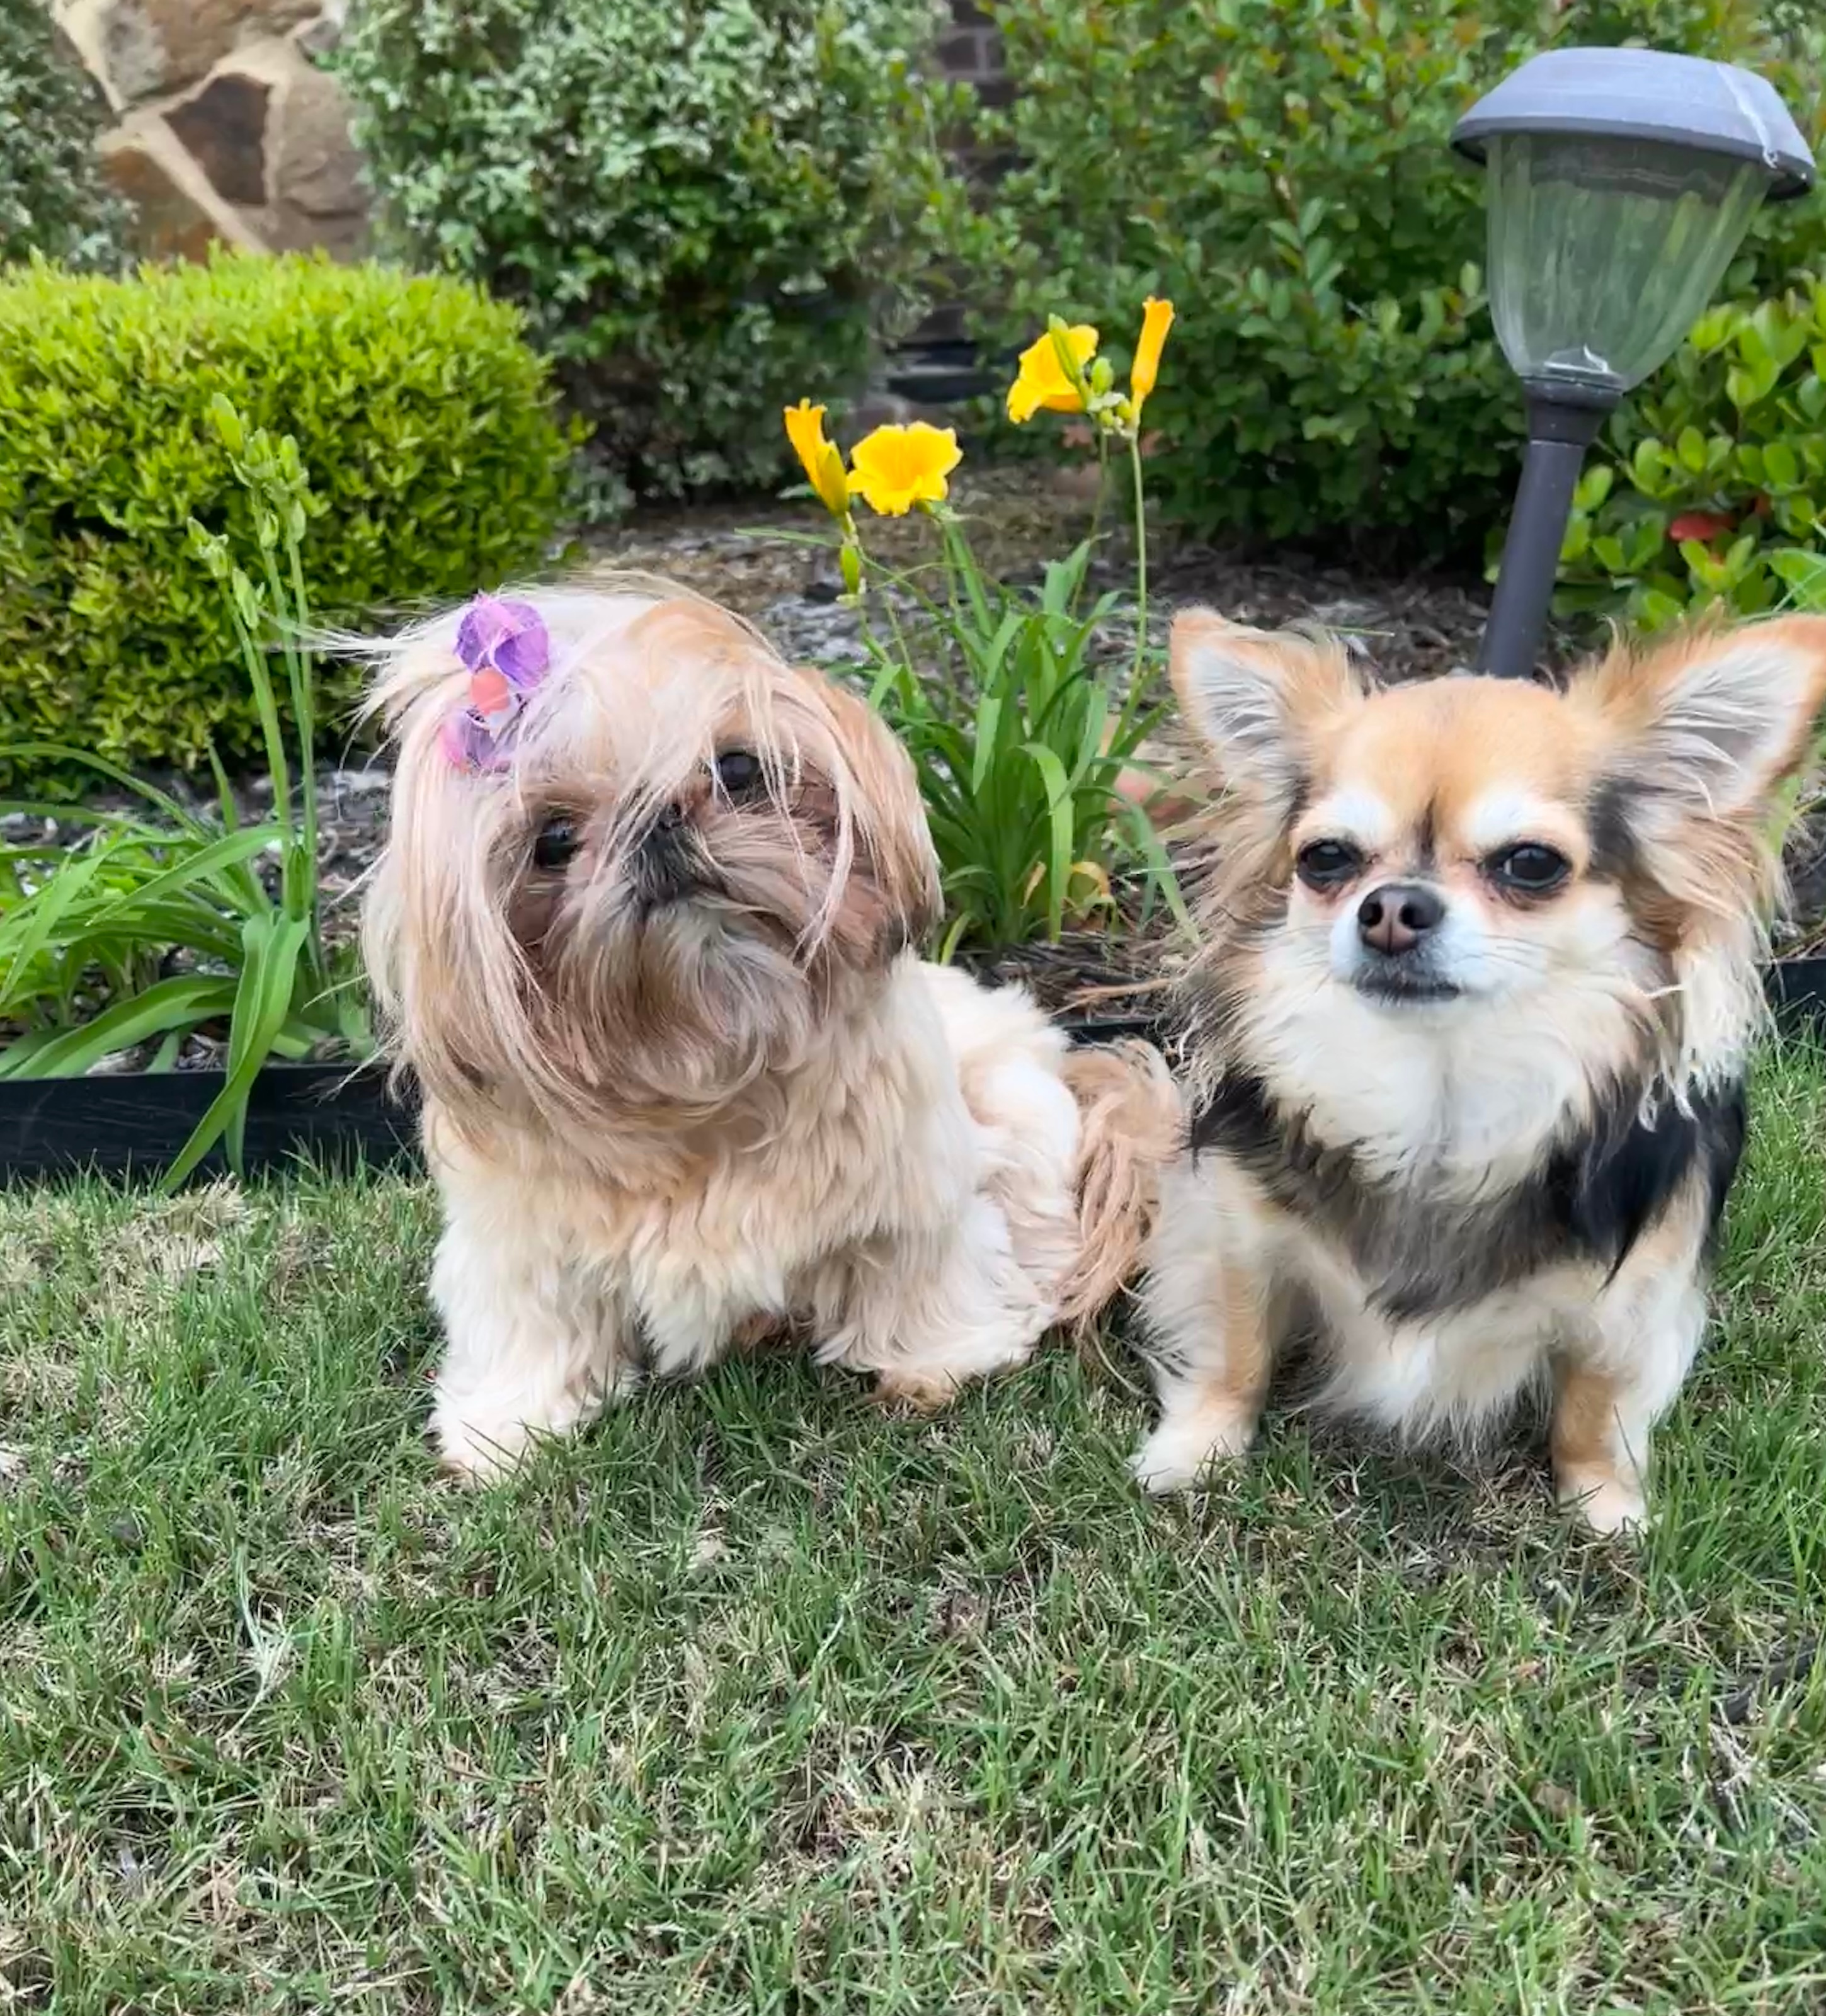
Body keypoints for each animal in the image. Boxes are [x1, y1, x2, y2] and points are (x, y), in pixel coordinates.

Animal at [362, 584, 1177, 1483]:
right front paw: (505, 1426)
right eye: (552, 841)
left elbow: (919, 1275)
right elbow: (534, 1330)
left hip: (1019, 1114)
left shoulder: (913, 1201)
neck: (711, 1053)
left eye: (737, 769)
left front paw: (938, 1359)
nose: (657, 821)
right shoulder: (519, 1247)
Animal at [1128, 608, 1813, 1523]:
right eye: (1325, 858)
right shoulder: (1239, 1234)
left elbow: (1594, 1402)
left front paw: (1602, 1504)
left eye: (1529, 863)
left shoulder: (1633, 1294)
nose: (1389, 908)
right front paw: (1197, 1449)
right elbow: (1236, 1349)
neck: (1437, 1087)